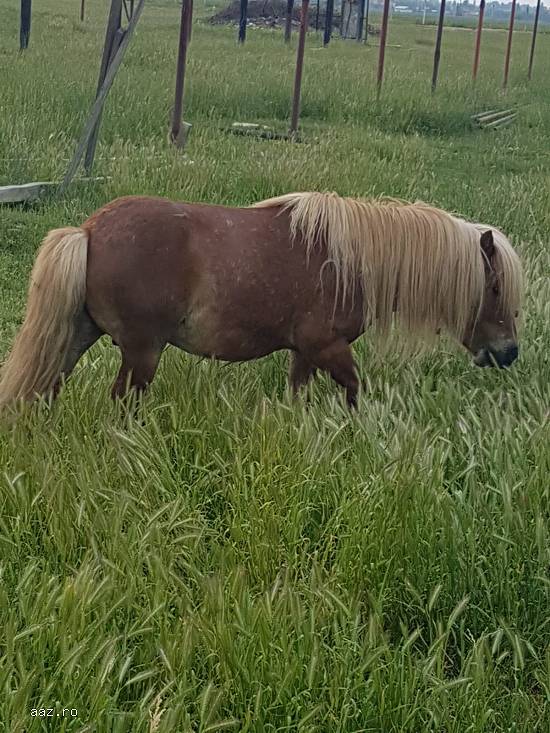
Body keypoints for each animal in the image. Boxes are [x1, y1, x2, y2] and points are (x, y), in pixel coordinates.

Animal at [0, 193, 528, 412]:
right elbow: (355, 392)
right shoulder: (328, 347)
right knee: (121, 402)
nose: (508, 353)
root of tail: (89, 231)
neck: (351, 259)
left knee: (46, 386)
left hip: (80, 334)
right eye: (494, 288)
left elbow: (299, 396)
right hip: (142, 351)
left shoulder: (305, 353)